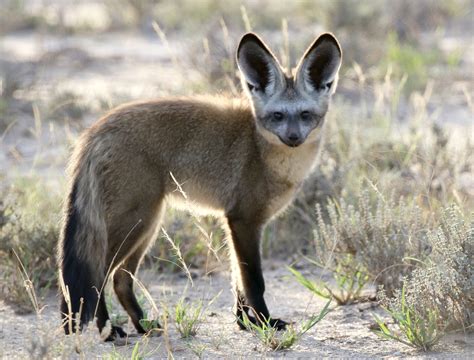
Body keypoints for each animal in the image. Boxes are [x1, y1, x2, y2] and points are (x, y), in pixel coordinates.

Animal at [58, 31, 340, 340]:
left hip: (146, 226)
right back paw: (108, 330)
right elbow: (253, 282)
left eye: (305, 115)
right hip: (137, 223)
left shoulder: (233, 224)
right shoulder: (243, 221)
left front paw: (245, 322)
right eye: (277, 115)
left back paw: (142, 325)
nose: (293, 138)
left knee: (120, 279)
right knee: (99, 275)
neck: (261, 152)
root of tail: (95, 130)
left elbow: (237, 281)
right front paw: (265, 322)